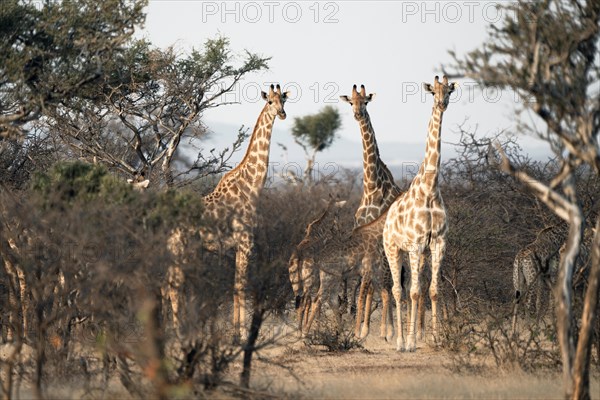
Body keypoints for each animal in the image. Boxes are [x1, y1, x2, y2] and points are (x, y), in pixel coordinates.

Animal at [163, 84, 288, 340]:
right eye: (269, 101)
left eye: (284, 99)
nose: (282, 114)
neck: (251, 186)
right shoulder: (245, 240)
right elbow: (240, 286)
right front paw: (239, 334)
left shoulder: (237, 245)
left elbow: (235, 285)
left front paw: (234, 330)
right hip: (181, 247)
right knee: (173, 286)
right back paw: (179, 333)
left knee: (167, 285)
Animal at [384, 75, 454, 350]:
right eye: (433, 91)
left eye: (449, 91)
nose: (442, 103)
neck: (431, 187)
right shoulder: (414, 244)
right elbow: (411, 292)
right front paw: (411, 341)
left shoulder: (438, 242)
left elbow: (432, 290)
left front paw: (436, 338)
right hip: (393, 248)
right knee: (398, 290)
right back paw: (400, 342)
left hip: (418, 253)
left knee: (415, 288)